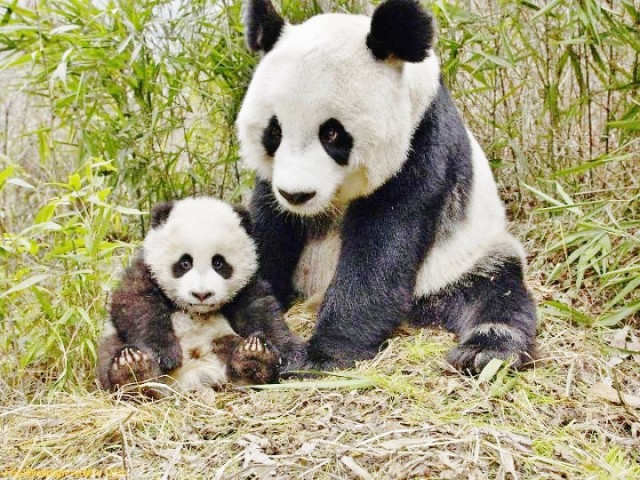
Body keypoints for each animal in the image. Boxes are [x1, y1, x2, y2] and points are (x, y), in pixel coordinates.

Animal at [97, 197, 303, 394]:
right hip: (116, 342)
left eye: (218, 263)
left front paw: (289, 353)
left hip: (221, 340)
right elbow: (135, 304)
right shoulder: (145, 270)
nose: (201, 294)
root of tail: (194, 376)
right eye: (185, 263)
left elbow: (261, 310)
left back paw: (253, 359)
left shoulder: (247, 284)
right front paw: (163, 354)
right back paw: (133, 371)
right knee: (110, 354)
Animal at [236, 0, 538, 374]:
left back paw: (484, 351)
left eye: (332, 133)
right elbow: (268, 231)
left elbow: (381, 249)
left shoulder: (421, 145)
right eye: (274, 132)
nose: (297, 195)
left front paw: (323, 356)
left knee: (497, 293)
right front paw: (258, 335)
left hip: (465, 258)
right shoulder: (272, 182)